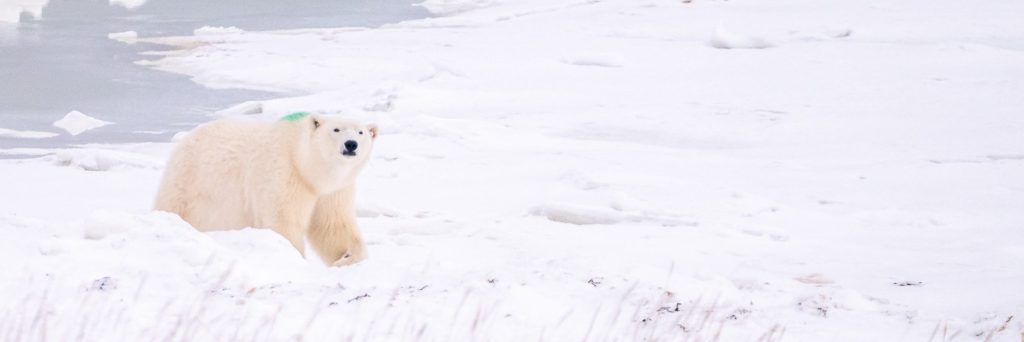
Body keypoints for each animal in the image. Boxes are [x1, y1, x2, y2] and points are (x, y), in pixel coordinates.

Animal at [151, 113, 376, 266]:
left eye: (361, 132)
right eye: (336, 129)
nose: (351, 144)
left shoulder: (335, 190)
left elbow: (333, 224)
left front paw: (347, 256)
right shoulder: (283, 173)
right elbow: (283, 221)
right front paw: (293, 256)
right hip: (190, 181)